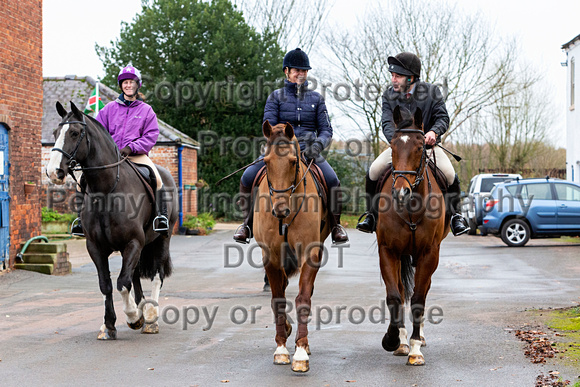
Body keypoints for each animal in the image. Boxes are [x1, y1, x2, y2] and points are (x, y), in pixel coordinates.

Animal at [46, 101, 177, 342]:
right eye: (55, 133)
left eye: (75, 133)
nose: (53, 172)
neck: (107, 191)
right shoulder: (96, 247)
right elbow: (106, 284)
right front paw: (109, 325)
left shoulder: (132, 243)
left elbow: (122, 283)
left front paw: (133, 317)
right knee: (135, 275)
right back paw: (142, 309)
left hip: (163, 238)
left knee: (157, 275)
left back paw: (150, 317)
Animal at [255, 120, 330, 372]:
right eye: (266, 161)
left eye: (293, 161)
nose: (280, 210)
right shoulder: (270, 256)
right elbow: (278, 299)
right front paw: (281, 348)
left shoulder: (310, 253)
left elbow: (303, 298)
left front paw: (300, 351)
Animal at [378, 105, 450, 366]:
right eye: (393, 146)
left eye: (420, 147)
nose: (401, 192)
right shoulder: (388, 251)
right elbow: (394, 296)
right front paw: (392, 340)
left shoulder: (429, 253)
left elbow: (419, 298)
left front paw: (416, 349)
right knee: (400, 289)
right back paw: (402, 340)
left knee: (424, 289)